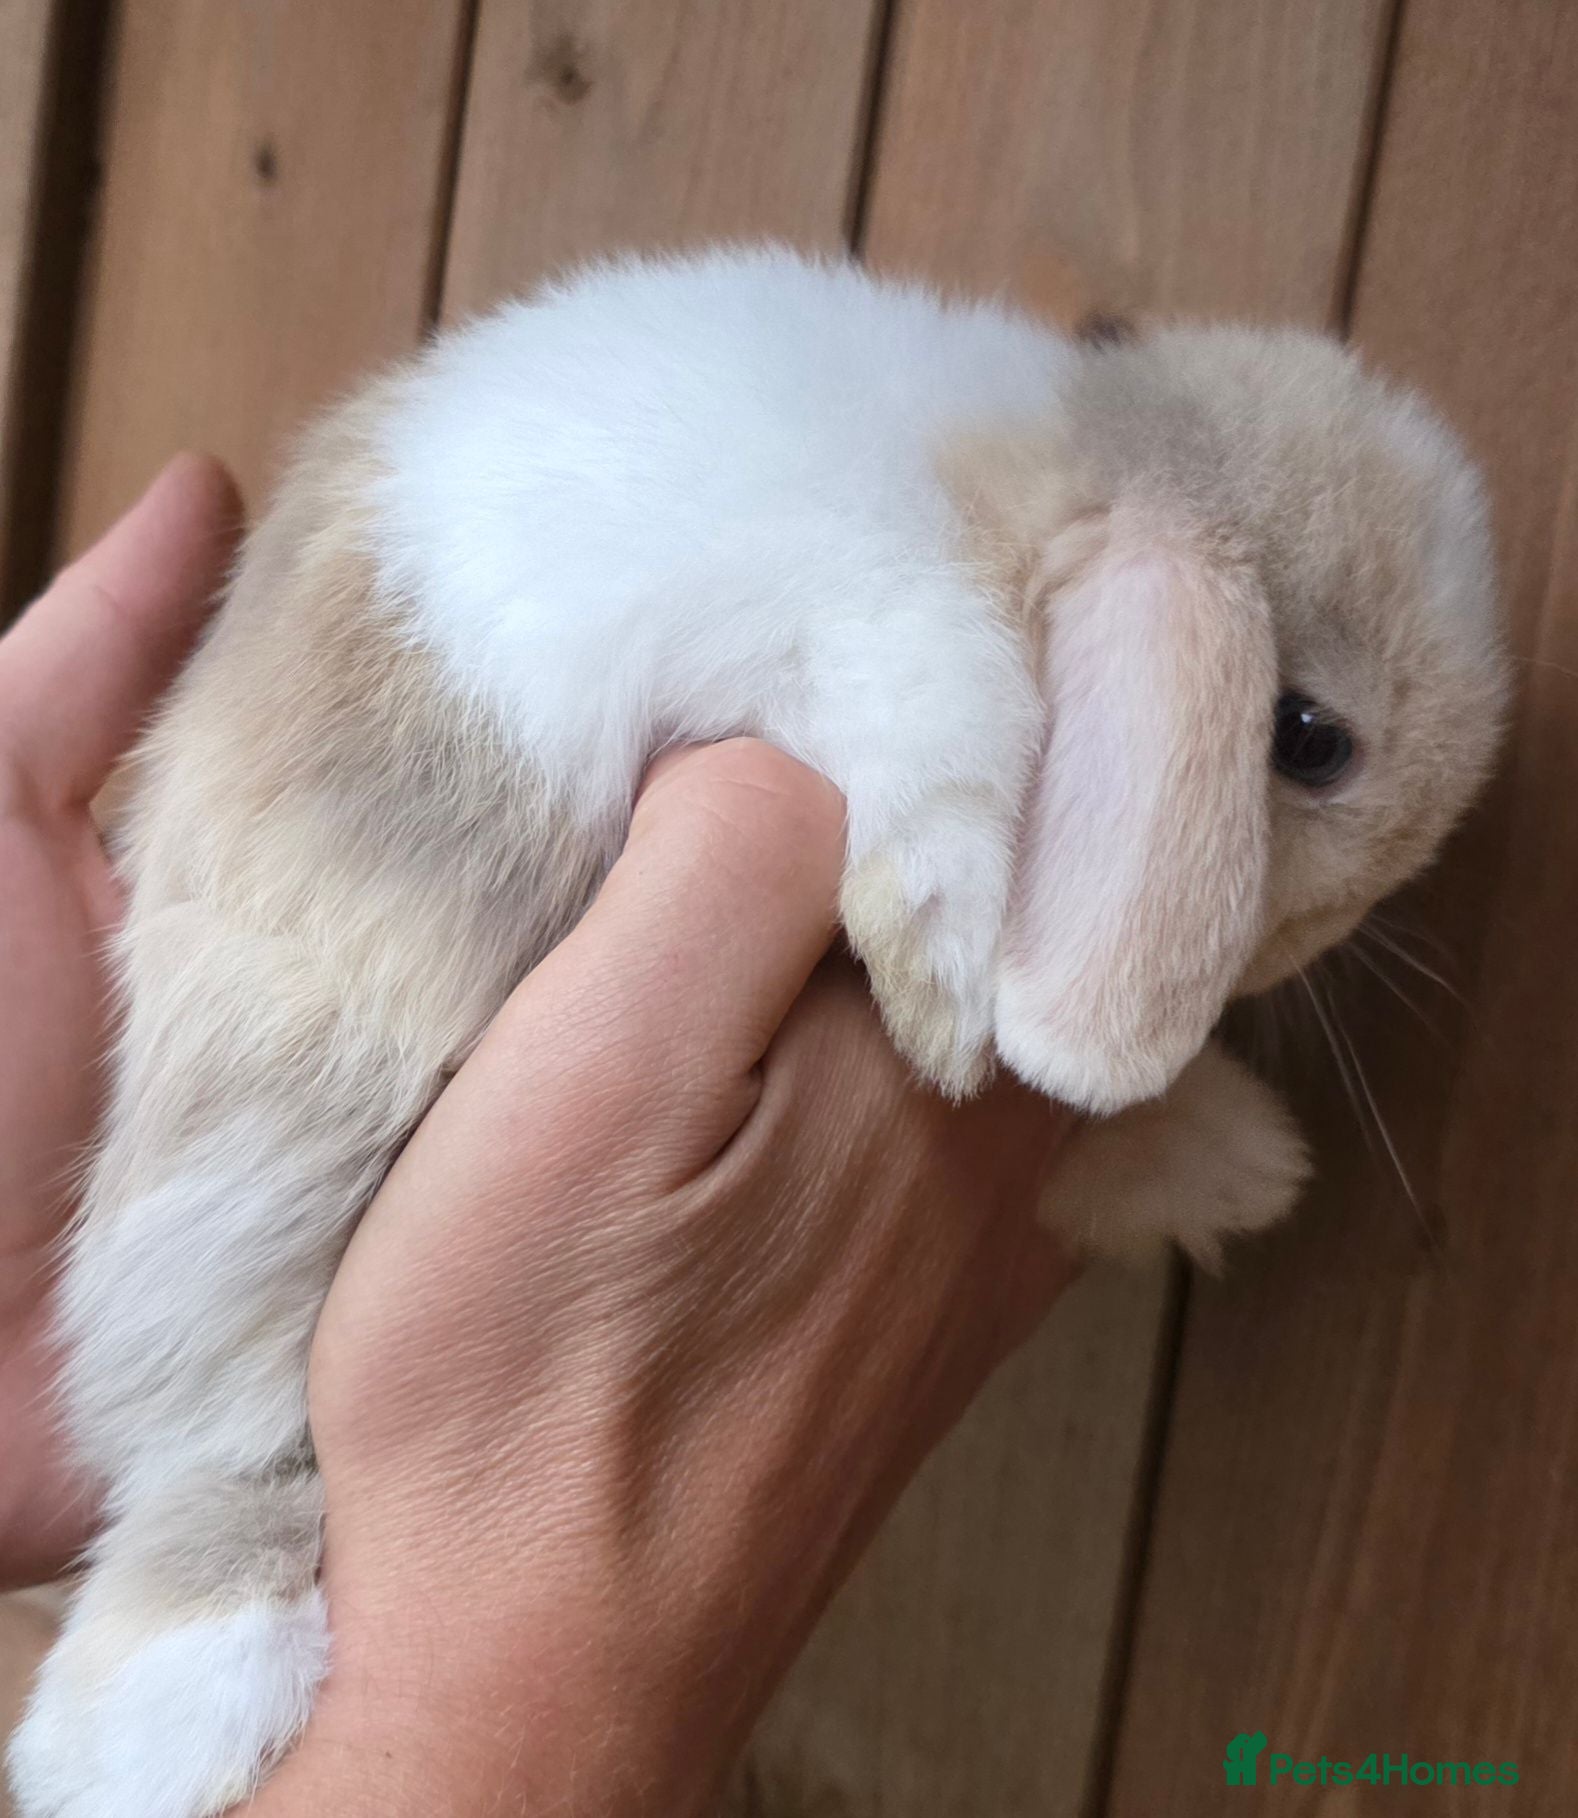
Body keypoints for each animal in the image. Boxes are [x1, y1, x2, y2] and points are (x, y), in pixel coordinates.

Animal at [10, 245, 1505, 1818]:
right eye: (1307, 737)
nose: (1309, 943)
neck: (1045, 468)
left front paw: (1217, 1143)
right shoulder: (865, 608)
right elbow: (941, 713)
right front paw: (947, 991)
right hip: (277, 1119)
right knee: (211, 1422)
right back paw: (150, 1727)